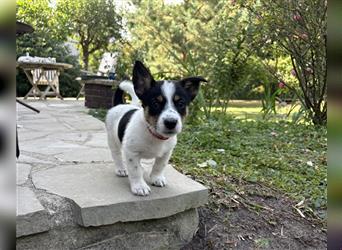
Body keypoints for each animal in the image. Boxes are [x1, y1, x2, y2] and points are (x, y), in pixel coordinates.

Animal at [105, 60, 206, 195]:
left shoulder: (167, 152)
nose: (171, 122)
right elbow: (135, 170)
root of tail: (120, 104)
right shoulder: (131, 152)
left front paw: (156, 178)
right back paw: (121, 169)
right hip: (113, 140)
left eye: (181, 103)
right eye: (155, 103)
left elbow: (159, 166)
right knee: (116, 155)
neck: (154, 134)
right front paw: (139, 186)